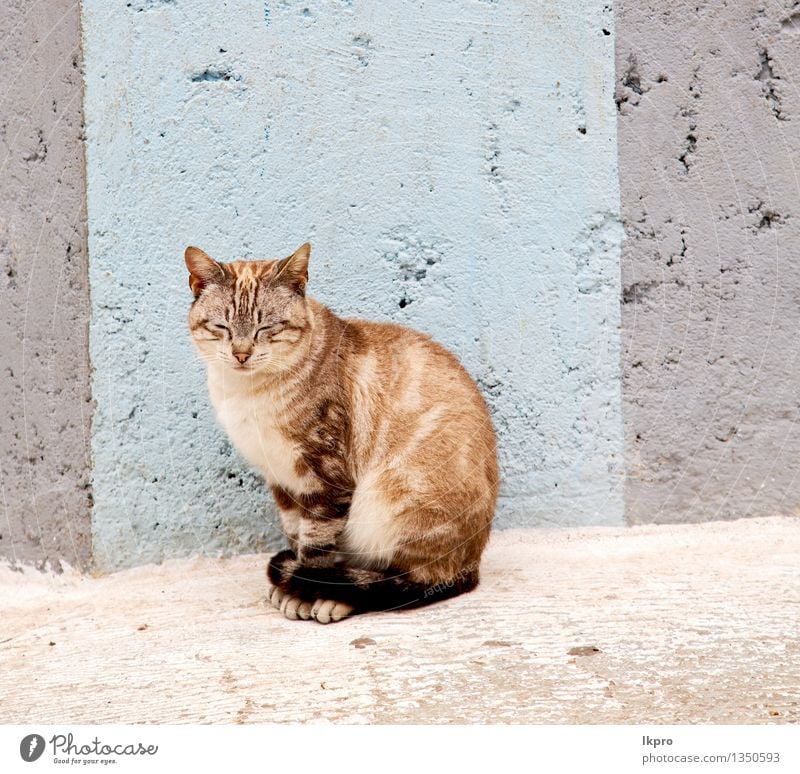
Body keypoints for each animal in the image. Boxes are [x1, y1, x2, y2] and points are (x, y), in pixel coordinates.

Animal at [188, 246, 500, 628]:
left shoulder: (325, 478)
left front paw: (302, 593)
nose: (242, 354)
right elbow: (296, 535)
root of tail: (473, 562)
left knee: (408, 582)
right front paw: (295, 584)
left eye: (267, 327)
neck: (246, 394)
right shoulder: (281, 479)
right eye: (222, 327)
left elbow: (316, 548)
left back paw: (335, 599)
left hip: (390, 499)